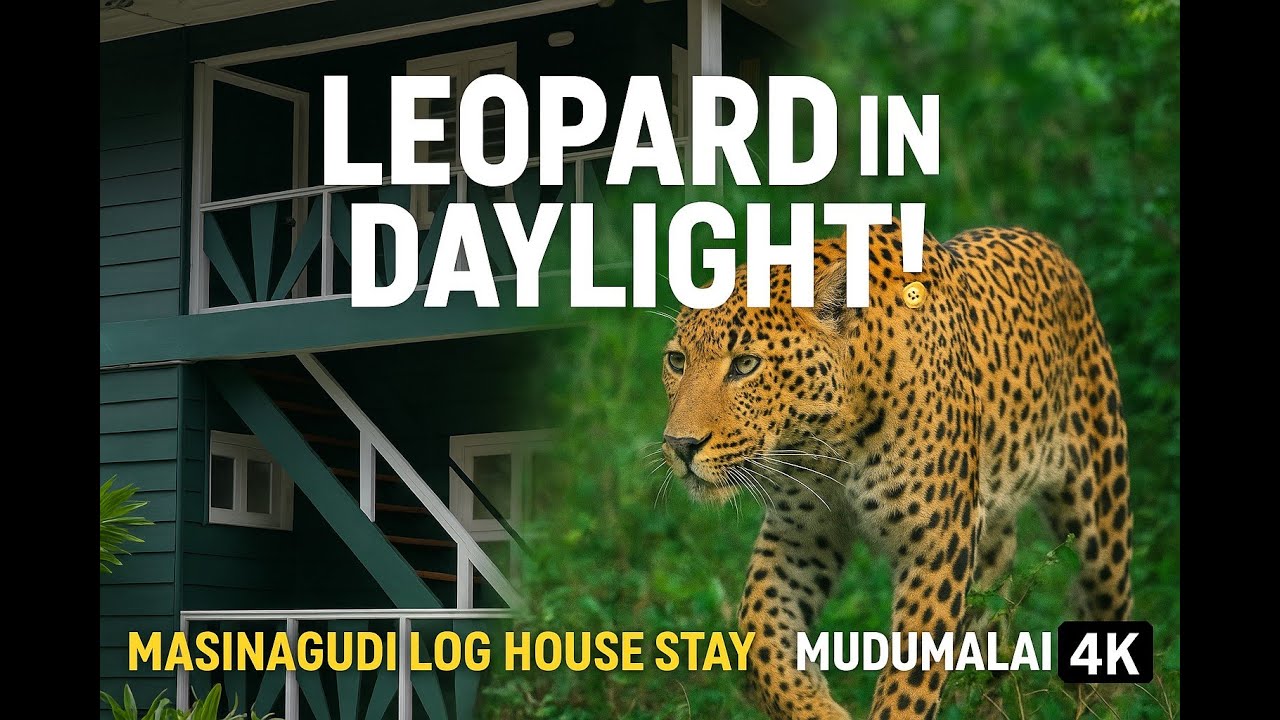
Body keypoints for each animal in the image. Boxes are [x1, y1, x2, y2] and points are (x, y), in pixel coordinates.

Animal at [659, 221, 1132, 720]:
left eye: (746, 364)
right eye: (677, 361)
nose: (680, 446)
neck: (828, 444)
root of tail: (1046, 244)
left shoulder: (936, 544)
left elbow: (911, 679)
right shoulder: (800, 533)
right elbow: (759, 629)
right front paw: (817, 709)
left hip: (1100, 514)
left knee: (1108, 602)